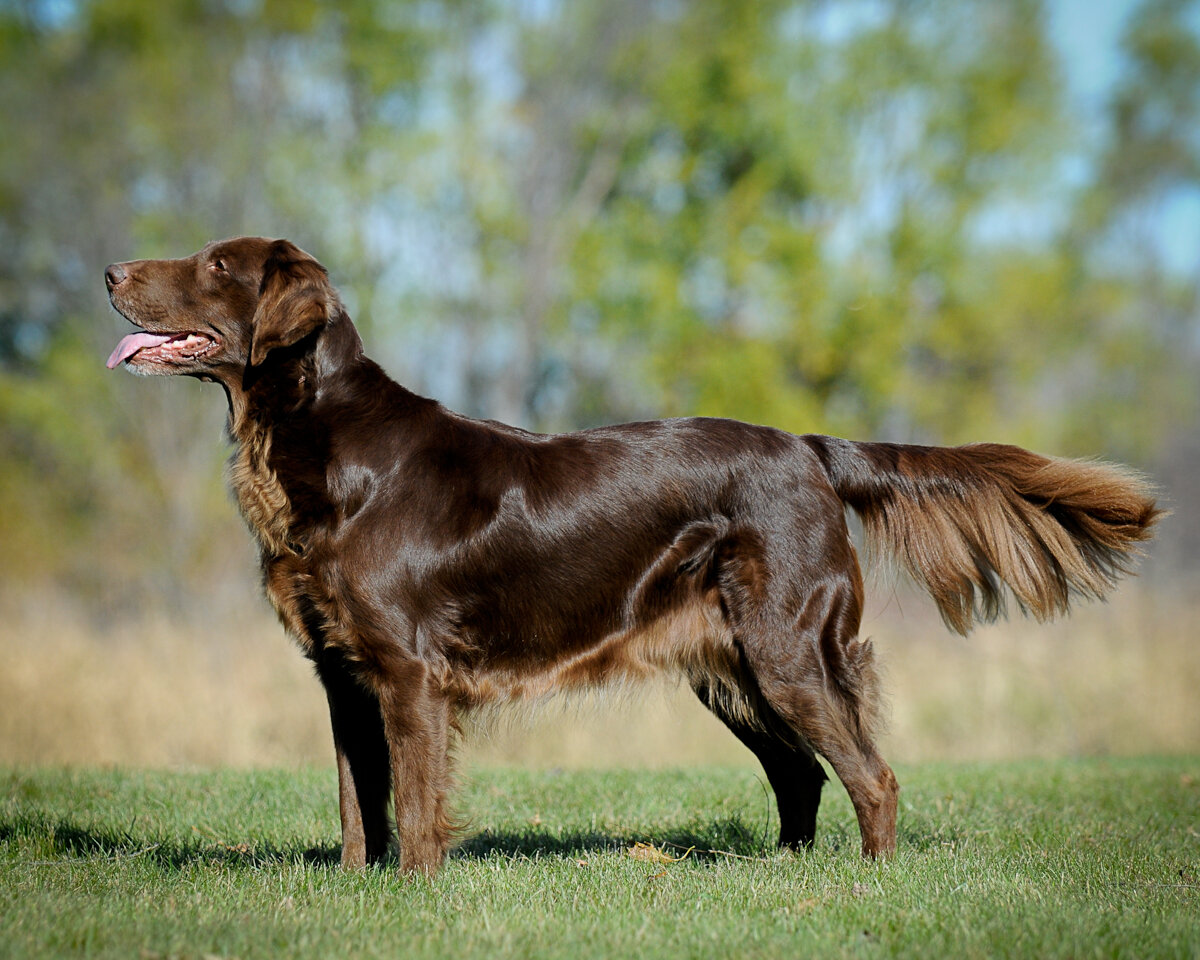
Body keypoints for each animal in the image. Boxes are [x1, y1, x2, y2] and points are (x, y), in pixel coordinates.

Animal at [105, 236, 1161, 873]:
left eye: (216, 264)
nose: (109, 272)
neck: (317, 446)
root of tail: (809, 448)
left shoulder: (409, 672)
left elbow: (413, 804)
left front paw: (414, 892)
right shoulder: (341, 672)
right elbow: (355, 805)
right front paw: (359, 892)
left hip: (788, 646)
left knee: (872, 774)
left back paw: (868, 881)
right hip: (732, 668)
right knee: (805, 774)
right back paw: (786, 876)